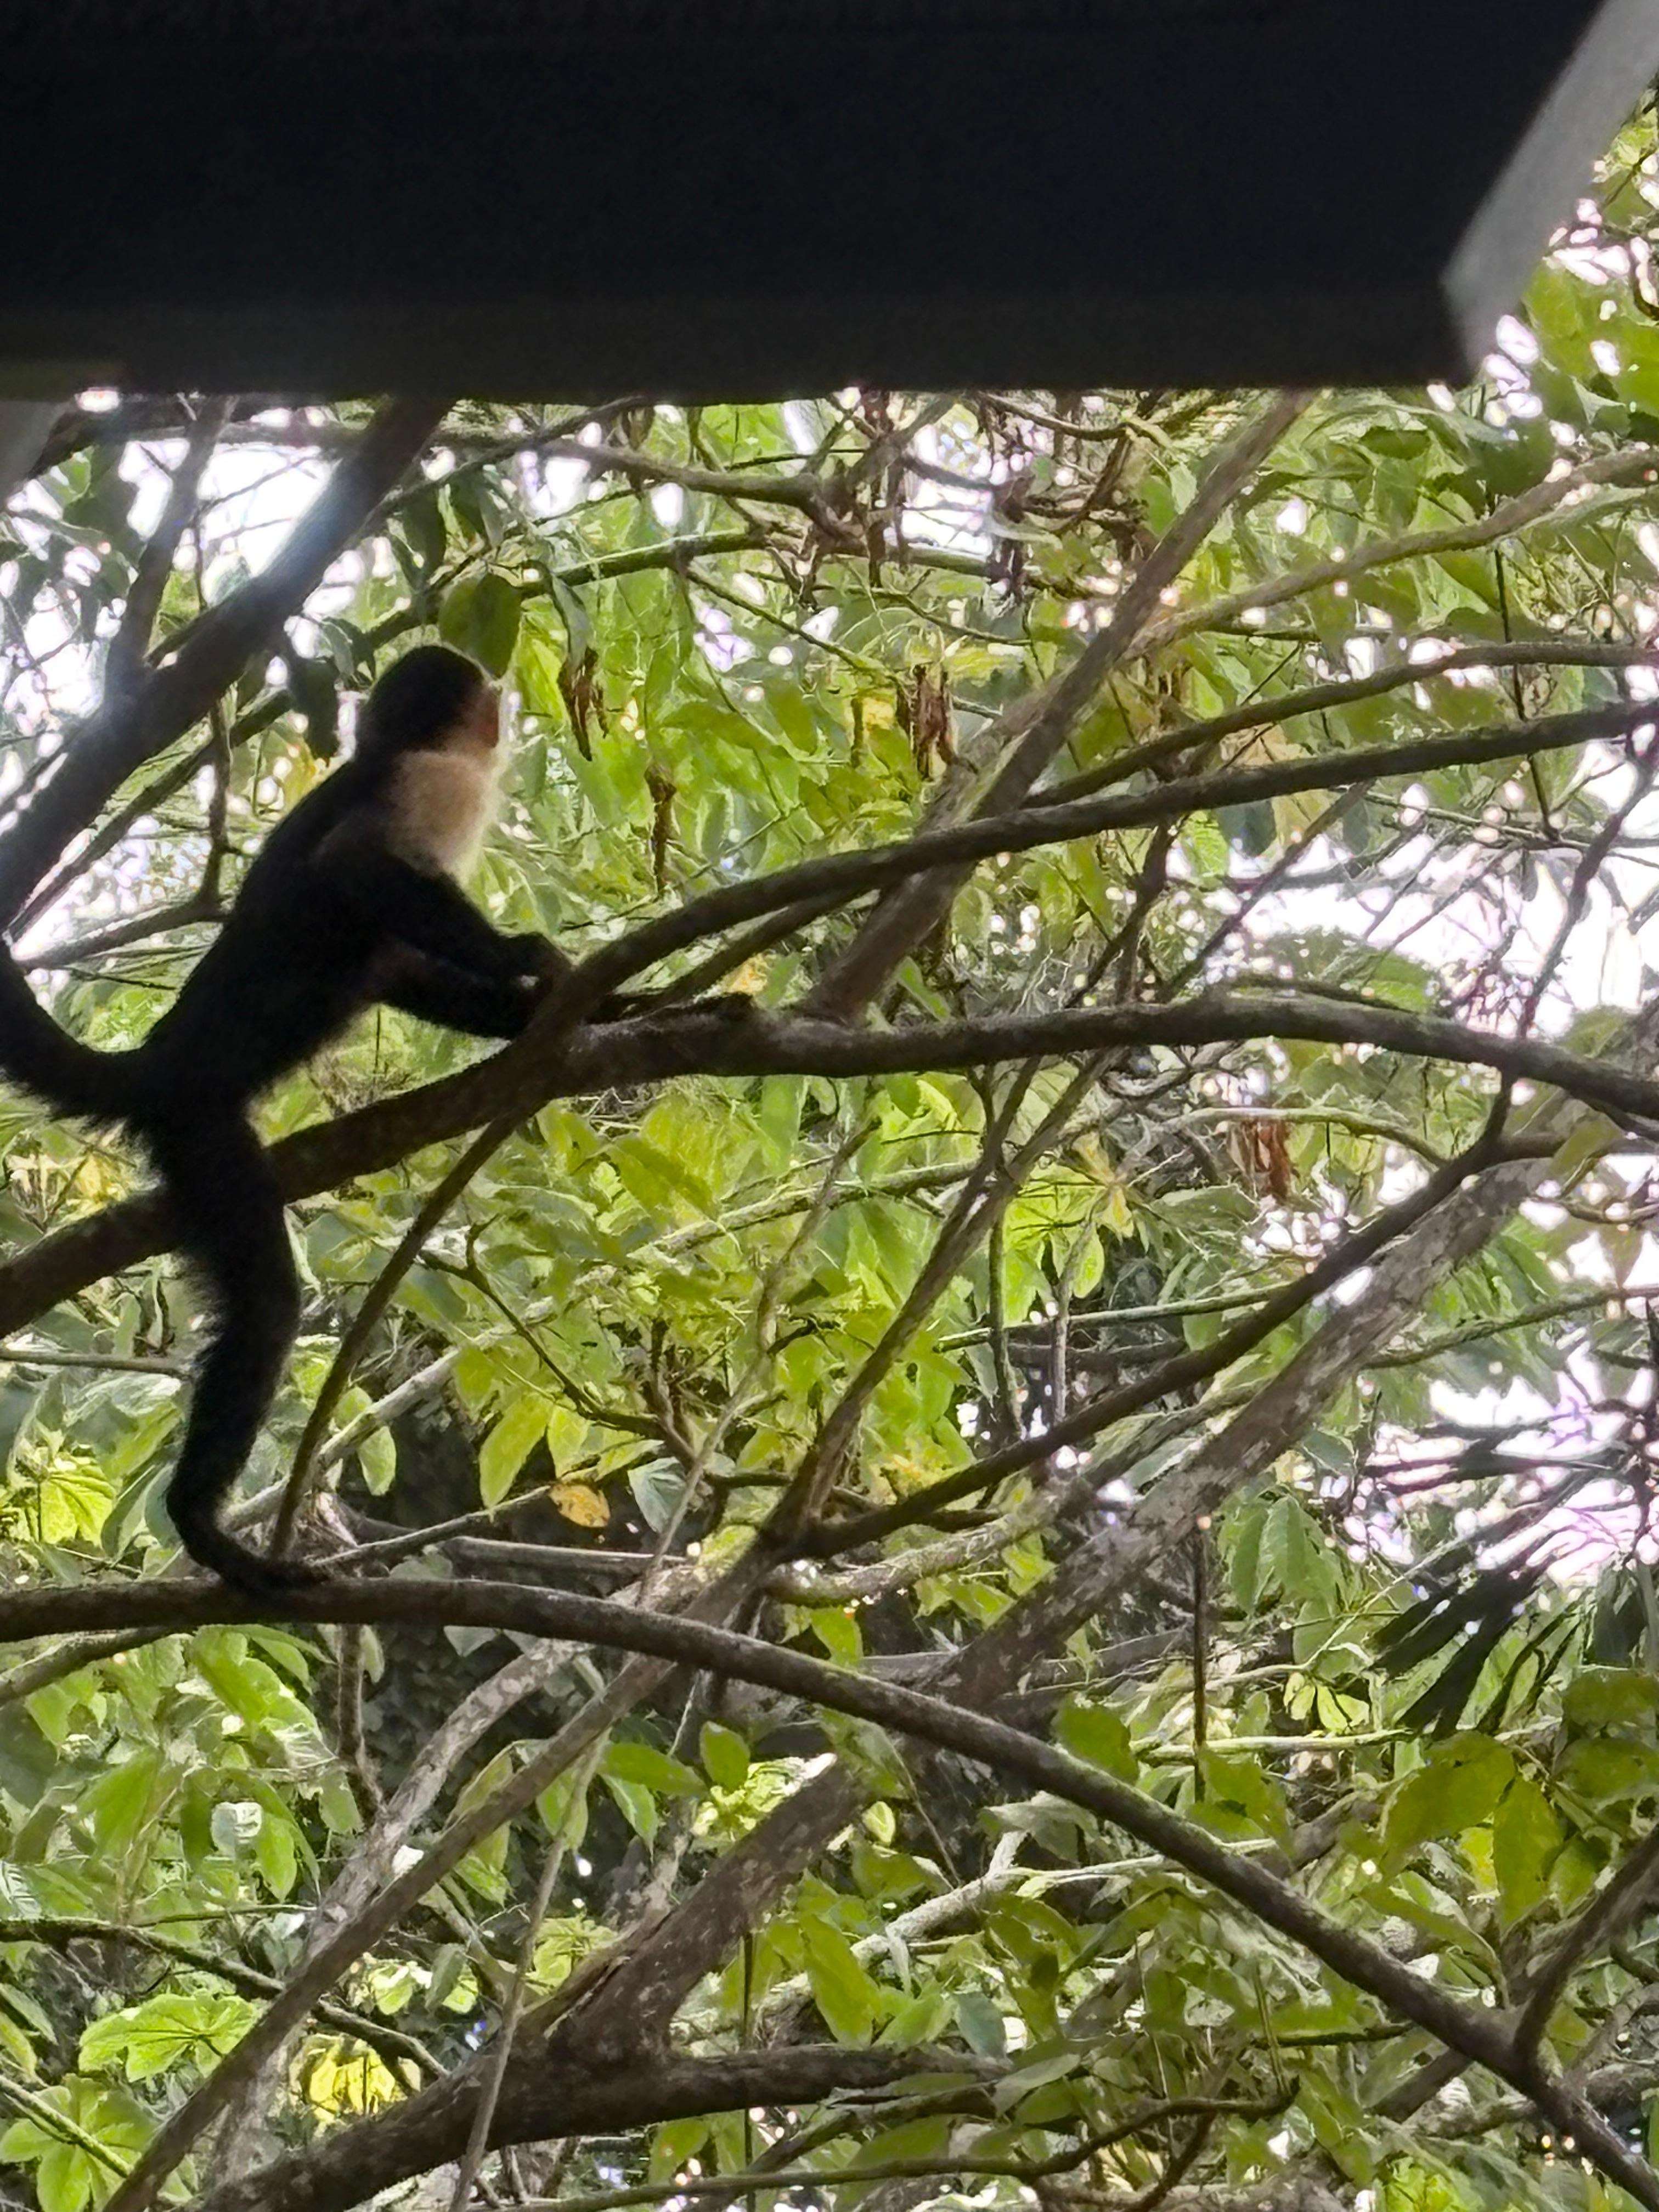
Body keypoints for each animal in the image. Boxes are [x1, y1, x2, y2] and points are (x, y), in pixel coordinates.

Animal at [0, 644, 589, 1593]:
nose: (507, 716)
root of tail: (155, 1065)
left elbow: (395, 968)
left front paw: (573, 1011)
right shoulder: (433, 783)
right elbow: (354, 868)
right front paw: (525, 957)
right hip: (200, 1133)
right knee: (269, 1302)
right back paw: (199, 1524)